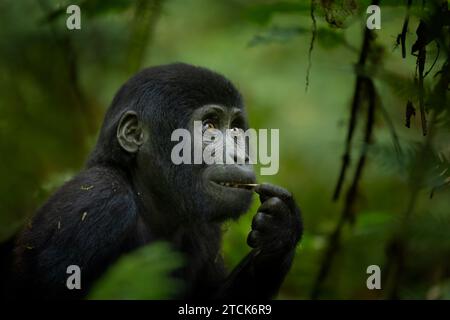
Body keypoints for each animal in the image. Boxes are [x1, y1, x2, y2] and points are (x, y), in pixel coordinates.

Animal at [6, 63, 302, 300]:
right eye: (209, 126)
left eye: (236, 129)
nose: (240, 156)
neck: (146, 195)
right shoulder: (97, 200)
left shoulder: (206, 227)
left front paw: (280, 233)